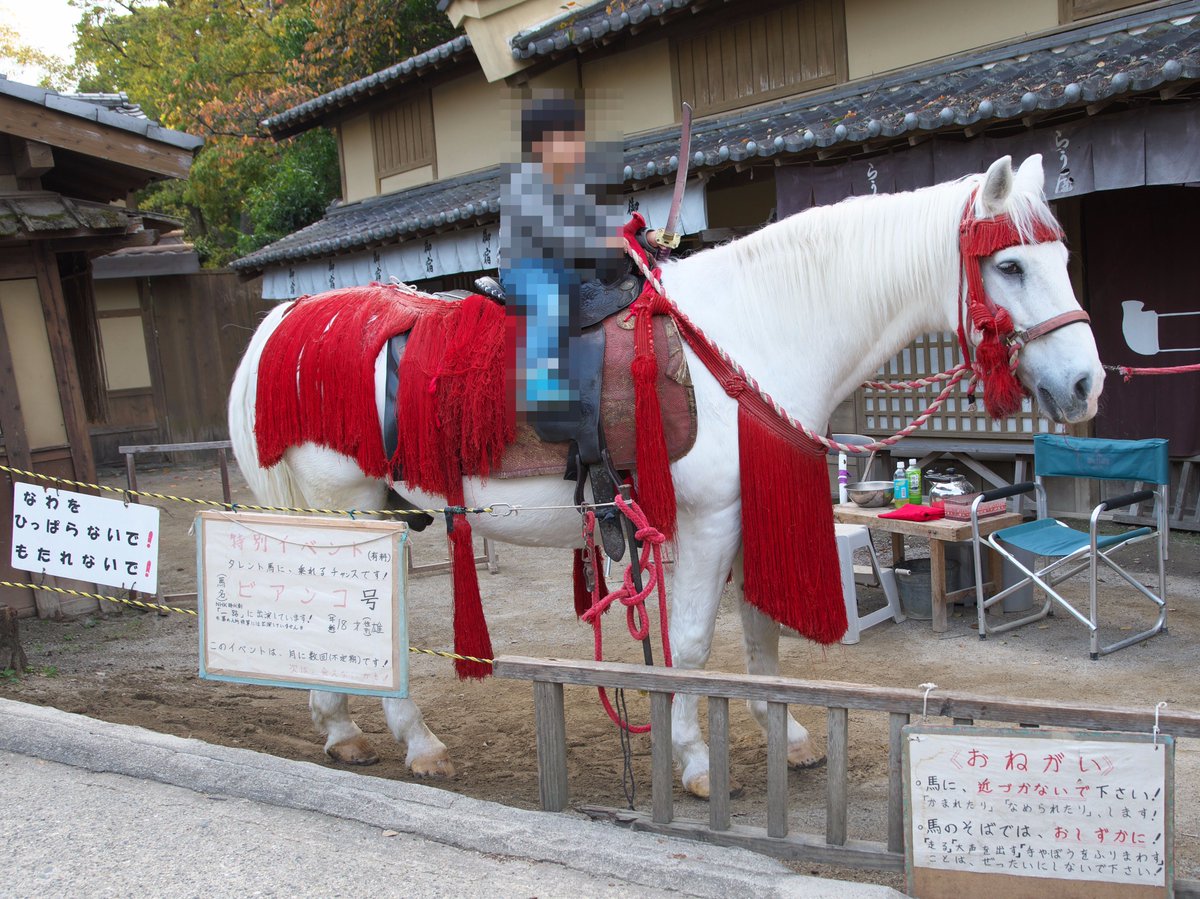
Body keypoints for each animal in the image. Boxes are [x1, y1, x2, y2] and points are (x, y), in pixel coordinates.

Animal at [226, 154, 1104, 792]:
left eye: (1062, 255)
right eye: (1011, 266)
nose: (1086, 383)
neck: (751, 330)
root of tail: (284, 323)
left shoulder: (748, 515)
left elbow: (759, 634)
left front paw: (787, 734)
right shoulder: (709, 519)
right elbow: (690, 640)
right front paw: (694, 760)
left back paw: (342, 726)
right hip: (352, 511)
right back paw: (415, 741)